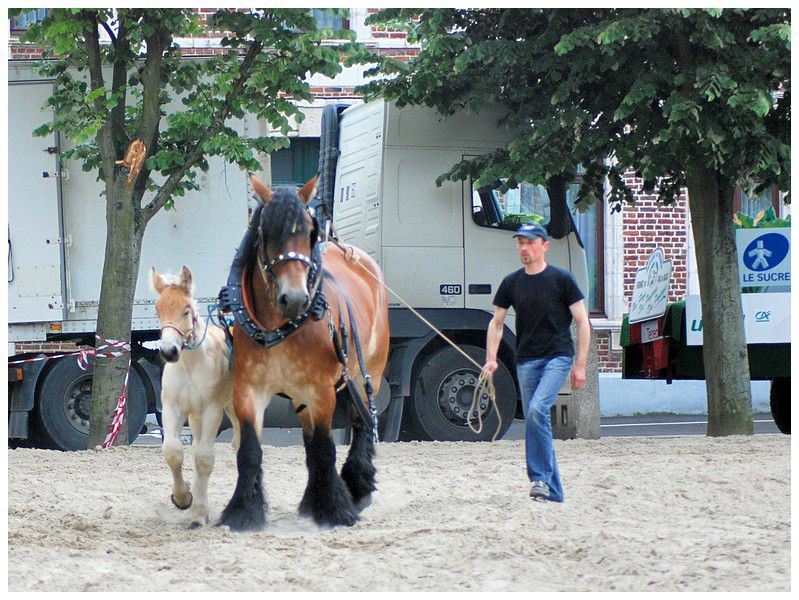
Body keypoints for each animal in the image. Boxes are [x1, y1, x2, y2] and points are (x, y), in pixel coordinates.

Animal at [149, 268, 238, 528]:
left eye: (186, 310)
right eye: (158, 309)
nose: (169, 351)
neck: (191, 365)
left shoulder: (212, 411)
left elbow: (204, 459)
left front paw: (197, 513)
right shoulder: (173, 409)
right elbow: (174, 452)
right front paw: (183, 499)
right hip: (196, 418)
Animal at [217, 175, 390, 528]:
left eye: (310, 231)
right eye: (266, 232)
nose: (294, 298)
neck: (279, 327)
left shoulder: (322, 392)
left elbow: (325, 449)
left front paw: (336, 510)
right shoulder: (248, 391)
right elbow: (250, 451)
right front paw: (243, 512)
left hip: (368, 373)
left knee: (362, 424)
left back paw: (358, 486)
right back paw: (313, 499)